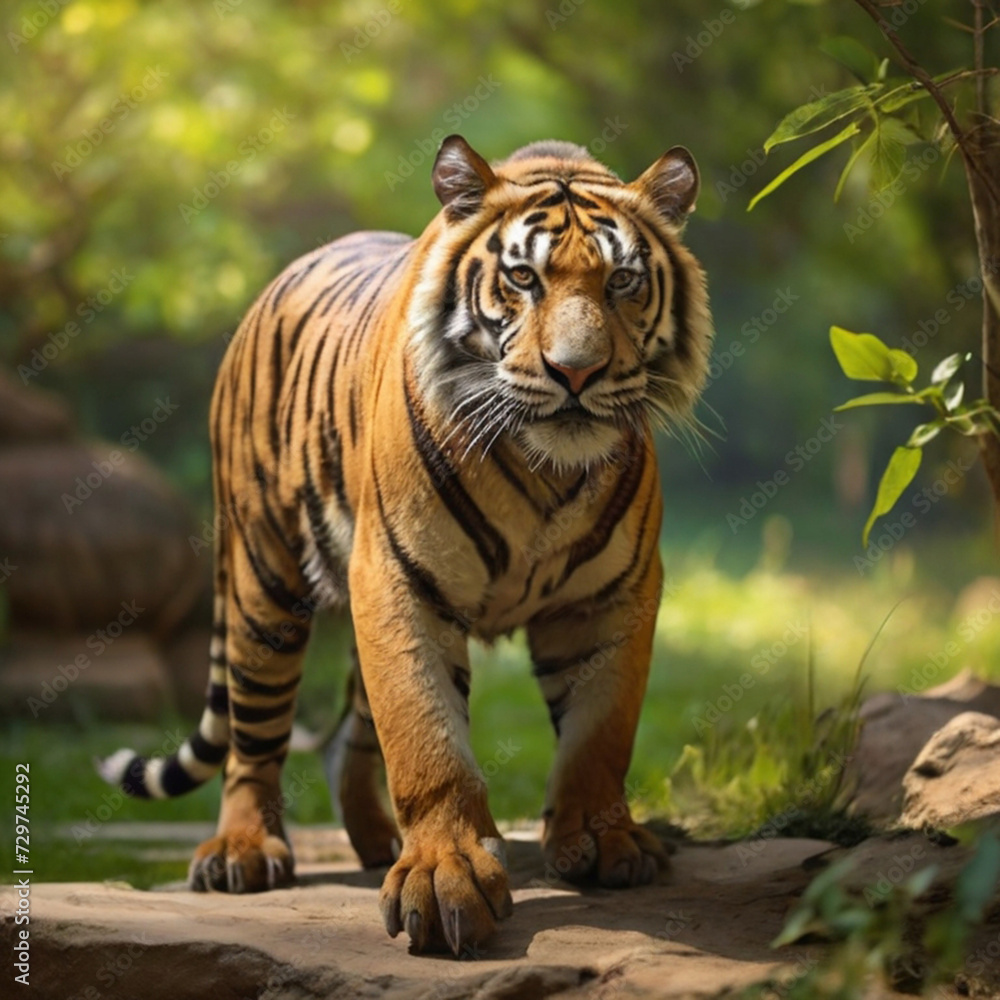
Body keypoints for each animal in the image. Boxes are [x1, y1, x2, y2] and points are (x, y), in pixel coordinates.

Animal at [100, 135, 713, 955]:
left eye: (623, 281)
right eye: (523, 277)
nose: (576, 372)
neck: (544, 467)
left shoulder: (614, 593)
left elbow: (600, 730)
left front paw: (604, 840)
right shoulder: (397, 576)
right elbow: (425, 735)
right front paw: (445, 876)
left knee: (346, 738)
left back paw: (374, 842)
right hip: (264, 585)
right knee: (253, 741)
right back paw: (241, 852)